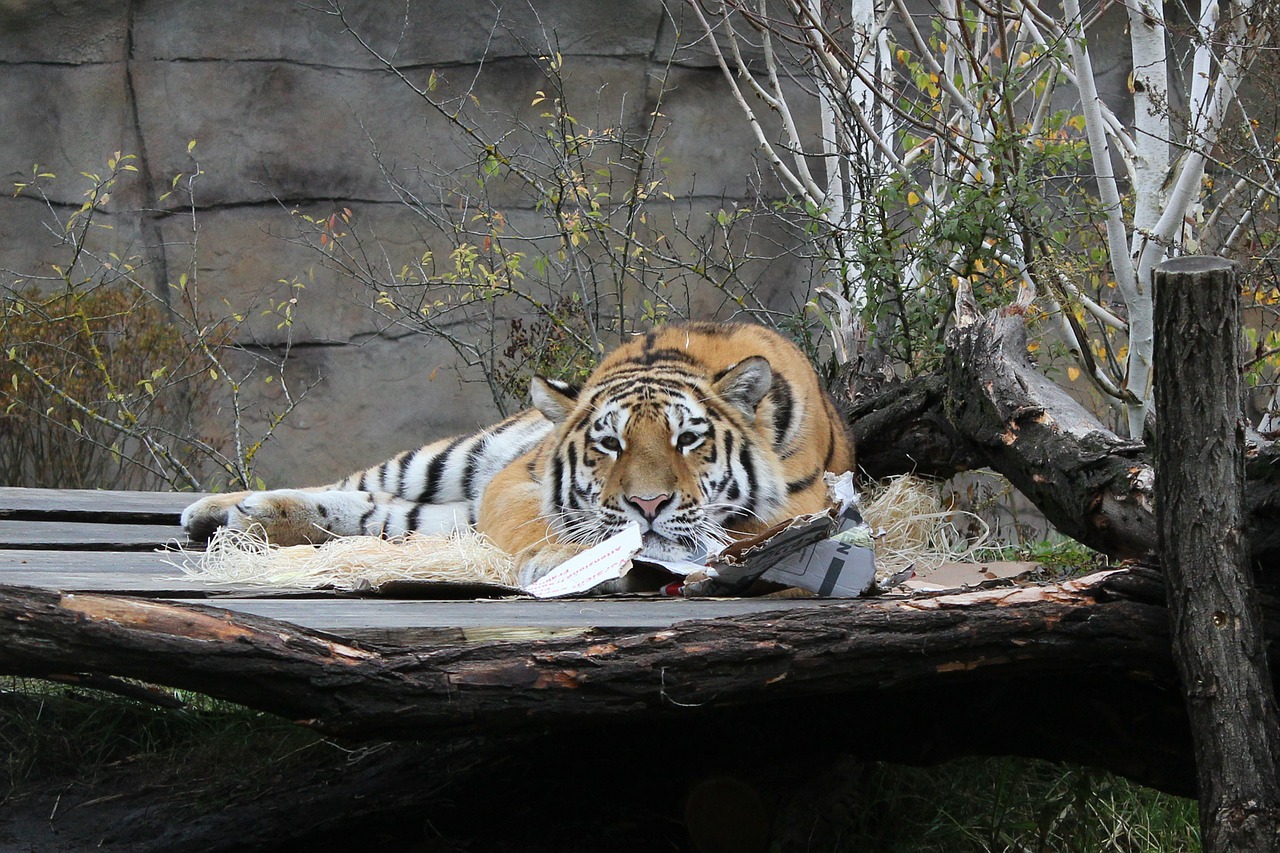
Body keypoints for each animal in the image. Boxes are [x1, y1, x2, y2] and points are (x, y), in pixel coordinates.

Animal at [180, 318, 855, 584]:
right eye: (608, 444)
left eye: (688, 440)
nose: (648, 506)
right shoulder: (513, 481)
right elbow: (533, 521)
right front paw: (564, 561)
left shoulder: (804, 506)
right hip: (454, 458)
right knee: (355, 485)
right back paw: (214, 511)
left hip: (439, 510)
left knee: (377, 513)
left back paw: (246, 521)